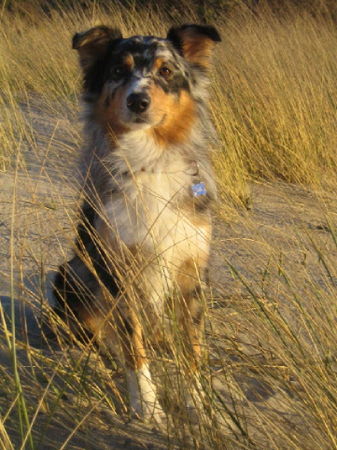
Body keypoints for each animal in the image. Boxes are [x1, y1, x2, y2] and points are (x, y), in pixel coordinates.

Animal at [53, 22, 220, 424]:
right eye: (118, 70)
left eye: (166, 70)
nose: (137, 101)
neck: (149, 159)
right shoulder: (116, 269)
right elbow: (133, 344)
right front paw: (147, 406)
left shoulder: (192, 269)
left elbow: (193, 347)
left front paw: (196, 405)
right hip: (72, 272)